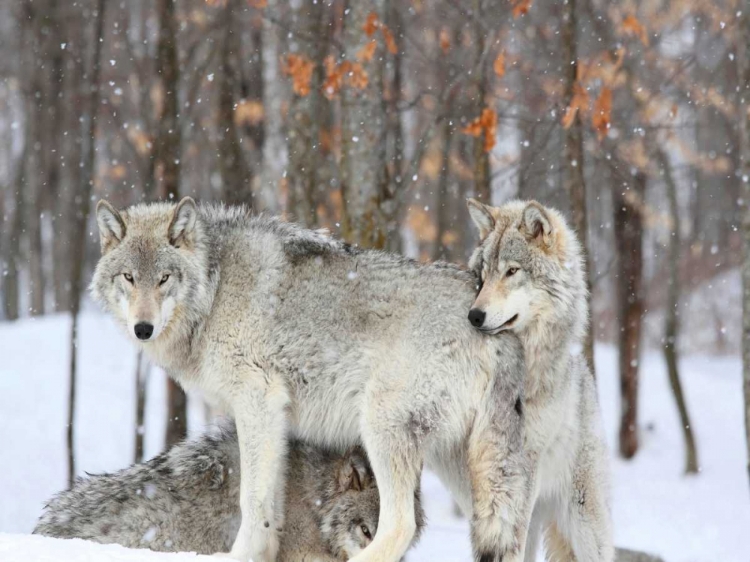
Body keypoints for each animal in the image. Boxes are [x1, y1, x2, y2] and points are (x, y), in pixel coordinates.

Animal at [91, 198, 532, 560]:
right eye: (128, 278)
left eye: (164, 278)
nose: (143, 328)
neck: (214, 290)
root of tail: (492, 324)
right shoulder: (273, 420)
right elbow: (271, 504)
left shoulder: (258, 401)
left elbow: (251, 501)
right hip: (464, 465)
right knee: (509, 536)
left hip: (382, 428)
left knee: (400, 525)